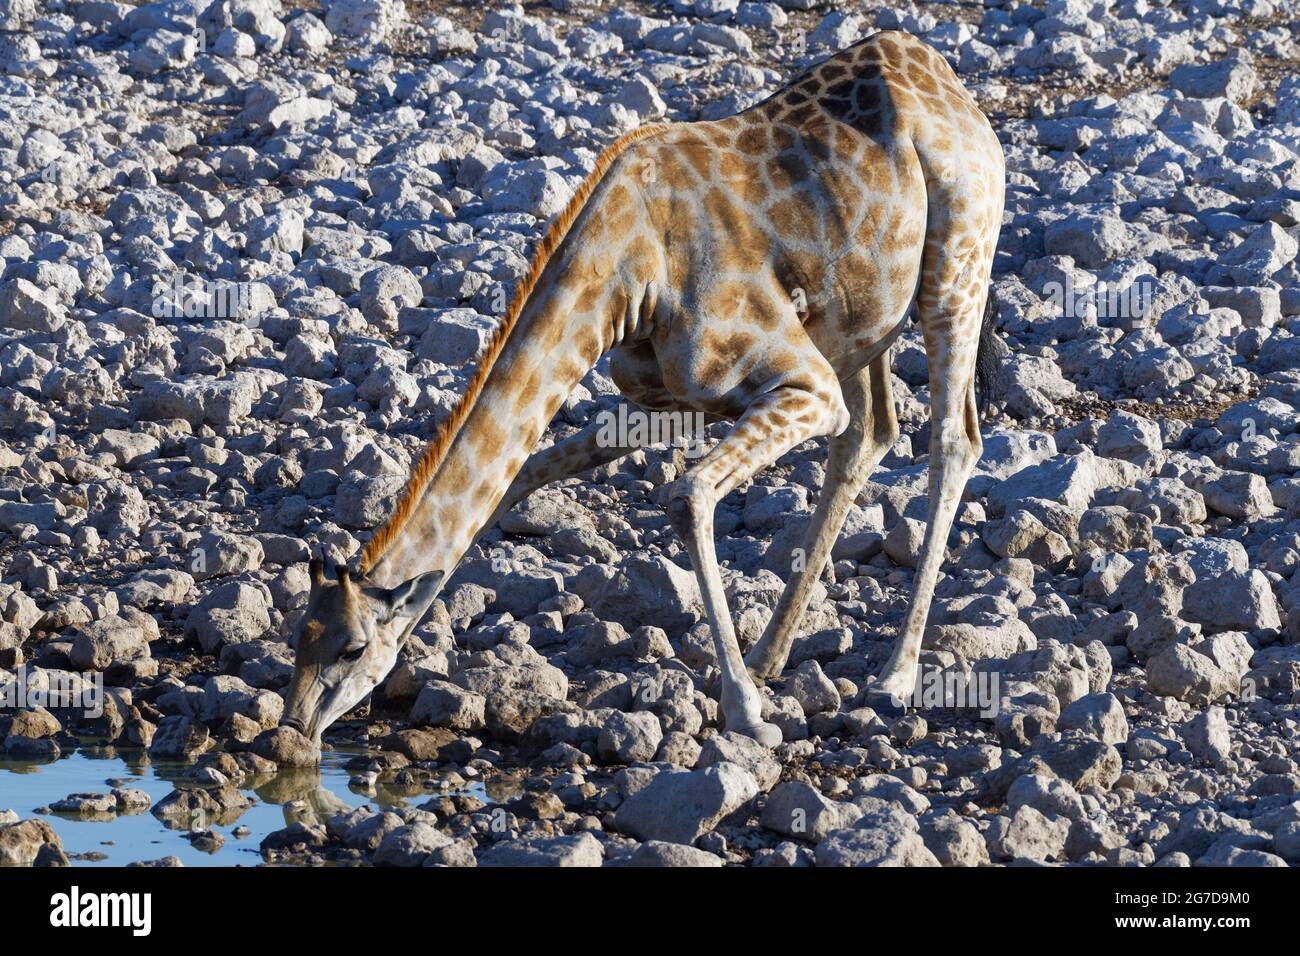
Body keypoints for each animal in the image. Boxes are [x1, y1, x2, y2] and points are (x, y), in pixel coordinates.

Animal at [282, 27, 1003, 749]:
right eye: (298, 636)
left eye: (351, 647)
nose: (292, 731)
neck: (630, 271)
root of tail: (944, 80)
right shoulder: (672, 398)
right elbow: (525, 474)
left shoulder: (804, 385)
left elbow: (687, 497)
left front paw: (745, 714)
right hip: (862, 320)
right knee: (870, 434)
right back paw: (771, 653)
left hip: (956, 267)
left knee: (952, 440)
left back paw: (893, 677)